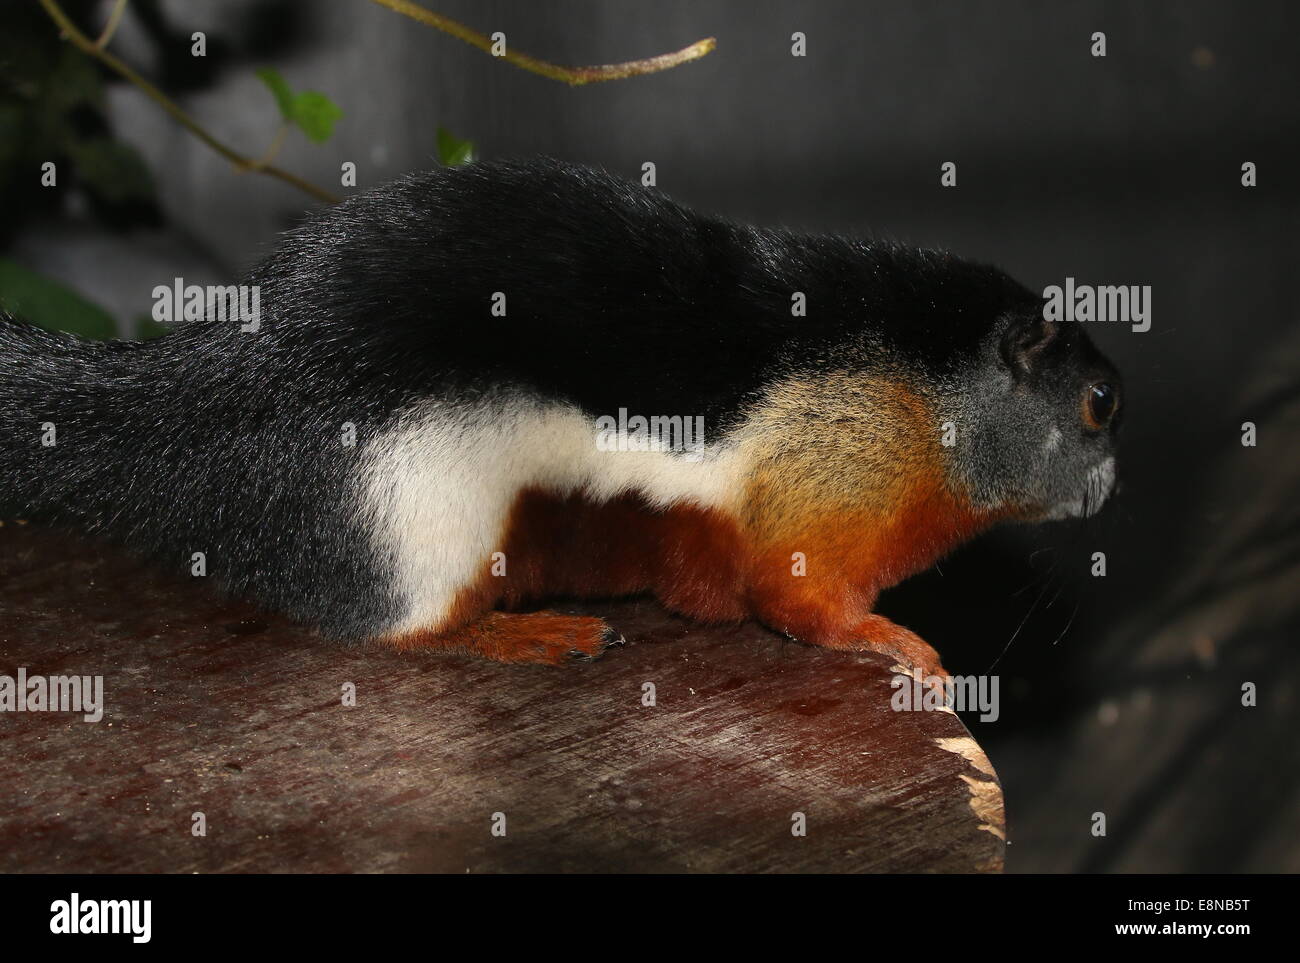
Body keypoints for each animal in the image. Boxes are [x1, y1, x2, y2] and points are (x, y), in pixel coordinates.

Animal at [0, 159, 1122, 677]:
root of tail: (224, 389)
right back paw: (526, 633)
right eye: (1099, 403)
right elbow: (801, 598)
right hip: (421, 510)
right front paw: (895, 642)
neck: (932, 397)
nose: (1111, 487)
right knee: (406, 630)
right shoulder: (822, 488)